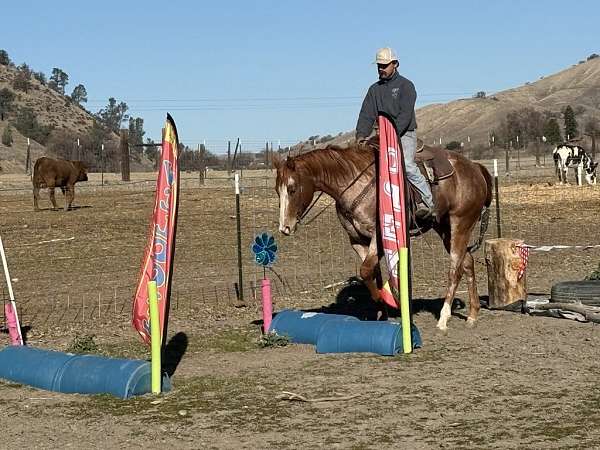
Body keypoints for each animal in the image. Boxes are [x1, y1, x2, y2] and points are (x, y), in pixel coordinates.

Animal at [276, 142, 492, 332]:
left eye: (292, 189)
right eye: (278, 191)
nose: (284, 227)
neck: (355, 182)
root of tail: (475, 167)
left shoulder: (379, 236)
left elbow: (365, 271)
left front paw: (388, 300)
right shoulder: (357, 240)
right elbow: (372, 273)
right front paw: (382, 312)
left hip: (460, 224)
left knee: (455, 269)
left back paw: (443, 318)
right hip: (444, 228)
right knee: (468, 262)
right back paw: (472, 315)